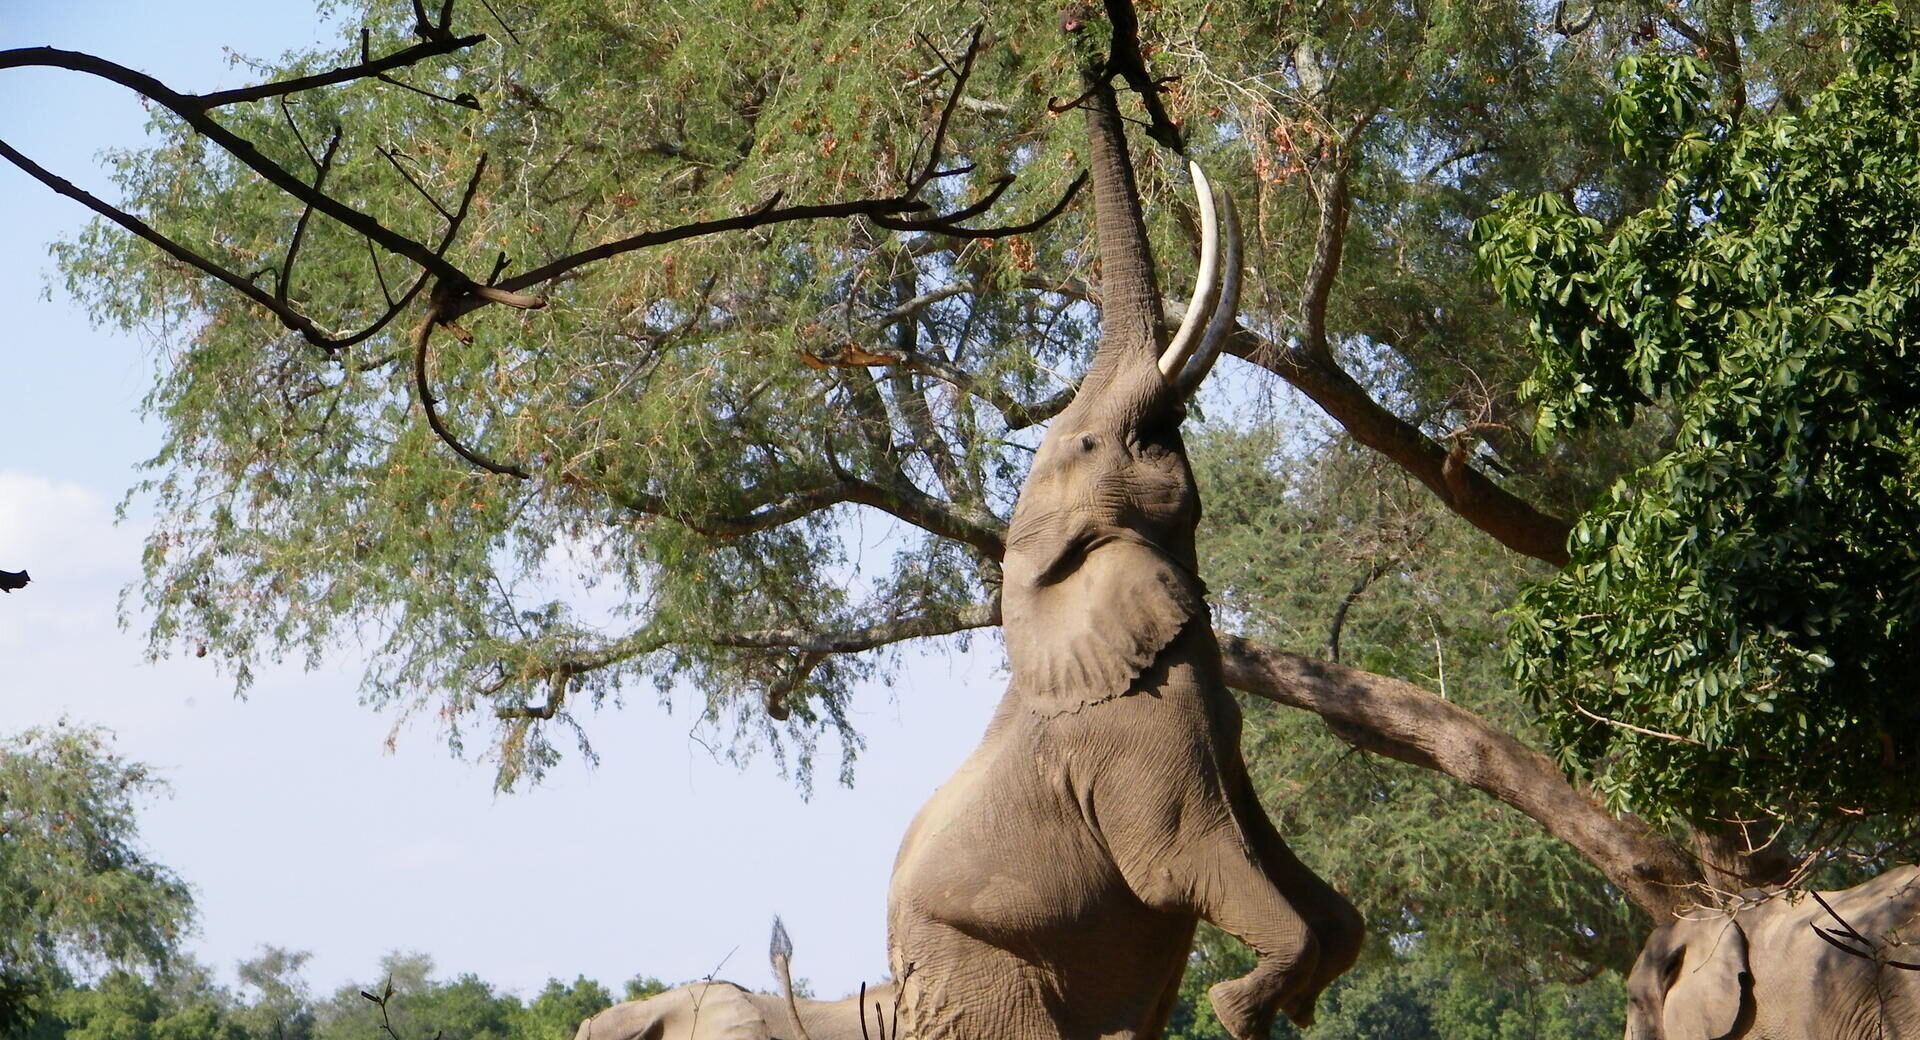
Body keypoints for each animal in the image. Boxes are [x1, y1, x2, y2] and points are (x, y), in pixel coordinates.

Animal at [883, 29, 1363, 1040]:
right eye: (1096, 444)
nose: (1082, 42)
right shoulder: (1131, 736)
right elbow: (1184, 862)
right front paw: (1239, 1005)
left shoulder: (1211, 724)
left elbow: (1288, 871)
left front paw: (1288, 1002)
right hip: (980, 973)